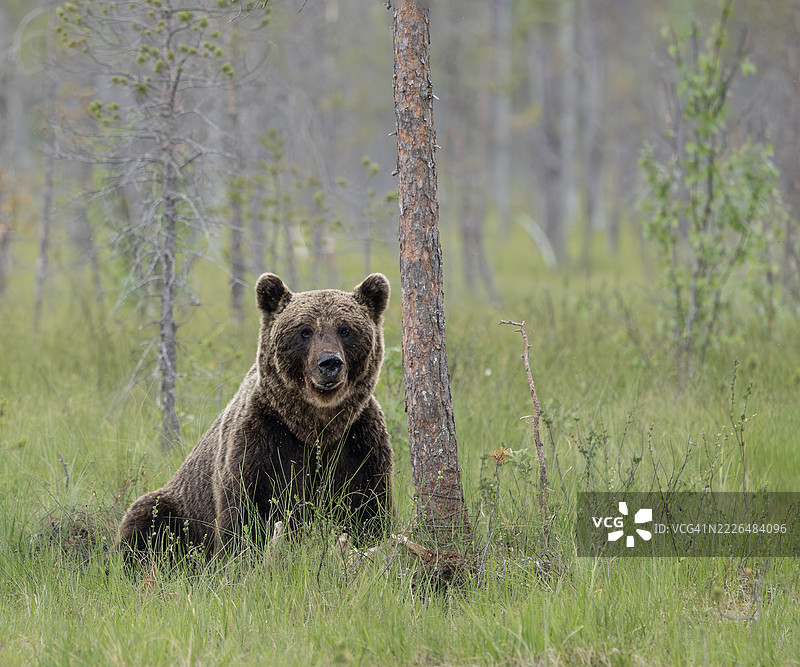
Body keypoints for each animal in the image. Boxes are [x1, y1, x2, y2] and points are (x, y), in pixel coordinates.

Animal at [117, 272, 394, 560]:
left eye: (345, 329)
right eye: (304, 330)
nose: (329, 362)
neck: (313, 425)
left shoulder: (357, 440)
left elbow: (368, 505)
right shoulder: (263, 439)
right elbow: (246, 511)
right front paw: (241, 556)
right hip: (182, 506)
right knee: (148, 517)